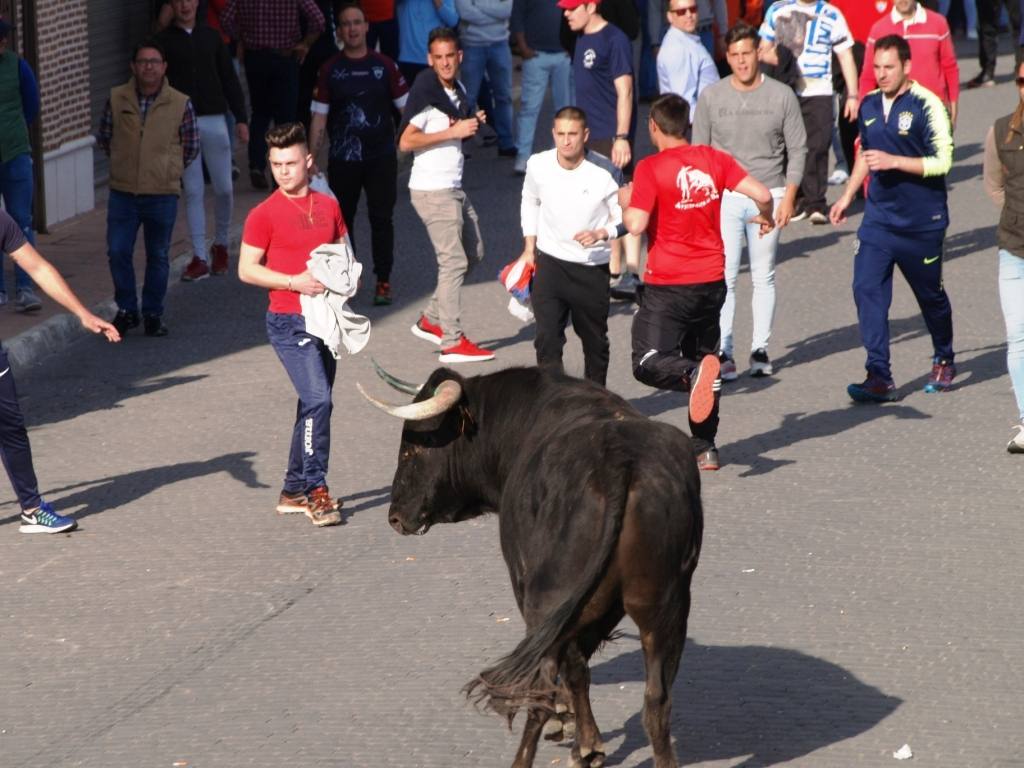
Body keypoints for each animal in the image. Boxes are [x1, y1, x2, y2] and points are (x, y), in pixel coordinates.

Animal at [364, 368, 708, 768]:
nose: (395, 515)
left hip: (548, 600)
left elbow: (569, 670)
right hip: (665, 609)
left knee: (541, 691)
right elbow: (580, 665)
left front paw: (577, 734)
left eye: (413, 447)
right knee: (656, 700)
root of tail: (620, 461)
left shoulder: (529, 588)